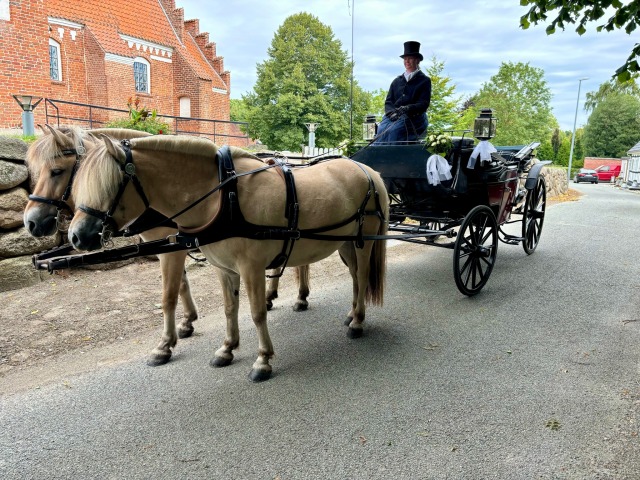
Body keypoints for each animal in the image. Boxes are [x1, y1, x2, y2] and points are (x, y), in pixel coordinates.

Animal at [69, 135, 390, 382]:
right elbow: (228, 308)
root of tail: (369, 171)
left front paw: (263, 360)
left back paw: (358, 322)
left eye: (110, 185)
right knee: (355, 278)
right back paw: (352, 314)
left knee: (362, 277)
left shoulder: (252, 268)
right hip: (345, 243)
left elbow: (256, 312)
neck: (225, 196)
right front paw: (227, 348)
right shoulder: (224, 269)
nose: (77, 237)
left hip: (363, 242)